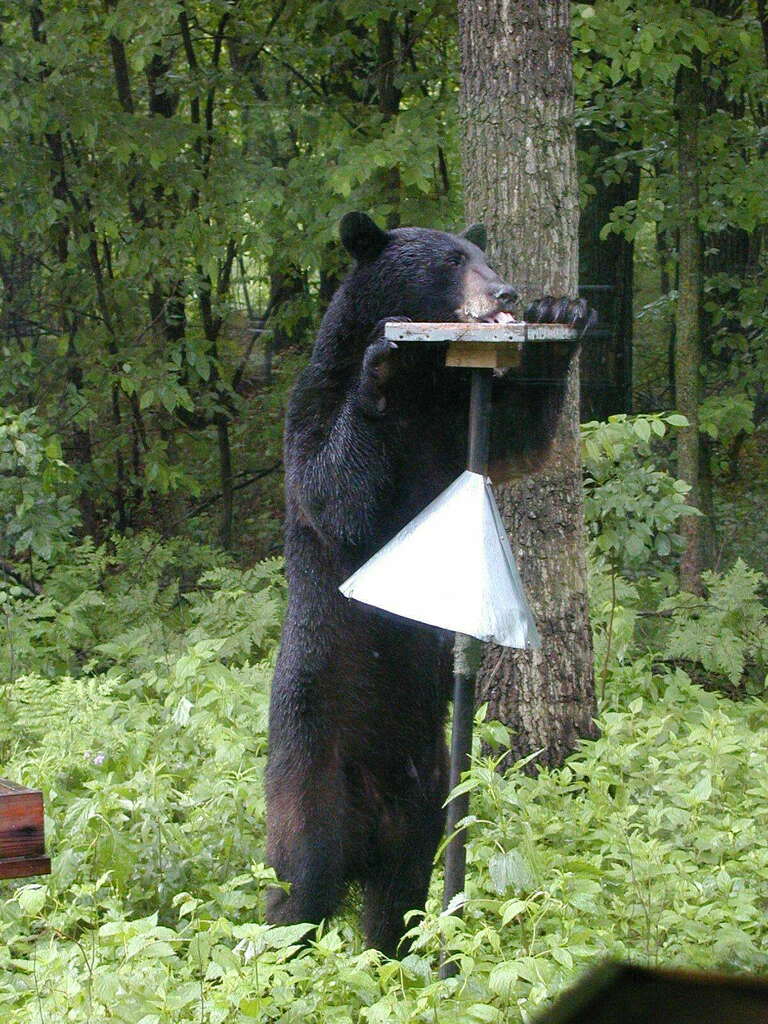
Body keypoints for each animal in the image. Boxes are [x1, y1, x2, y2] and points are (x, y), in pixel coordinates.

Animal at [265, 212, 595, 956]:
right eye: (449, 260)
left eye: (484, 255)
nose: (505, 289)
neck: (424, 386)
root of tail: (367, 829)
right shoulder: (311, 408)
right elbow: (334, 490)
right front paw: (378, 367)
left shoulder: (451, 424)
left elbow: (519, 439)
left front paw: (560, 315)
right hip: (310, 762)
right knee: (297, 882)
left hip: (428, 796)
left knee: (402, 896)